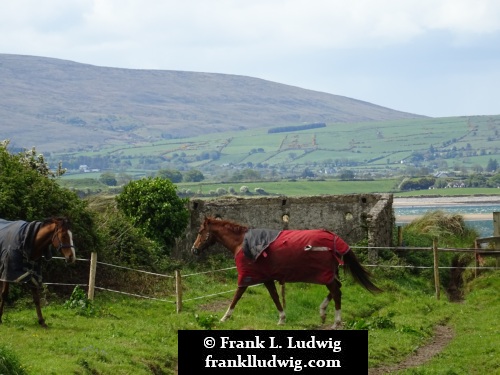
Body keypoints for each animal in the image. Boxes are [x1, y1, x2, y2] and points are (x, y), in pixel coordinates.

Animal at [189, 217, 380, 328]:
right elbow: (275, 296)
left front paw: (224, 318)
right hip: (330, 273)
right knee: (337, 289)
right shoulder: (266, 278)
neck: (241, 243)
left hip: (326, 275)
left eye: (200, 232)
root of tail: (335, 238)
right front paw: (282, 318)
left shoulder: (248, 276)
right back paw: (323, 312)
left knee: (336, 291)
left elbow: (236, 296)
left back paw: (336, 321)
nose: (194, 250)